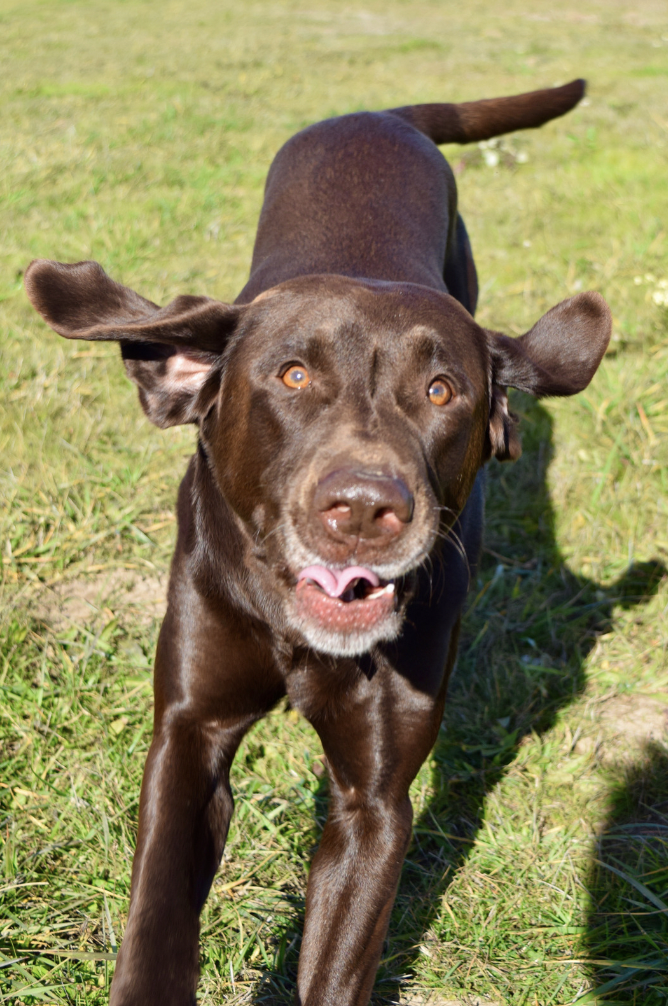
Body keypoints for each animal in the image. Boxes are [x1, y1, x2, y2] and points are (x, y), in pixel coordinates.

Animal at [24, 80, 611, 1006]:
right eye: (293, 375)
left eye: (441, 390)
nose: (366, 508)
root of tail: (385, 115)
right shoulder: (189, 733)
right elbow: (156, 924)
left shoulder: (374, 802)